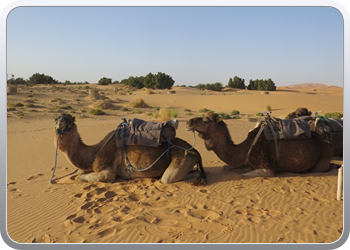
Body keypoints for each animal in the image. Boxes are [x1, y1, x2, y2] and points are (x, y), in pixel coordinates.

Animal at [53, 114, 206, 185]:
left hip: (182, 158)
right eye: (56, 119)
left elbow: (80, 177)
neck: (94, 152)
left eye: (69, 121)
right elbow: (79, 173)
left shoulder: (107, 170)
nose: (60, 124)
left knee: (168, 178)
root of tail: (196, 151)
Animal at [186, 112, 334, 177]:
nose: (188, 122)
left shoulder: (266, 167)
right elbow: (225, 167)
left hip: (322, 160)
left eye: (206, 120)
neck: (244, 148)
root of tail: (327, 143)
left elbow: (244, 174)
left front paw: (242, 172)